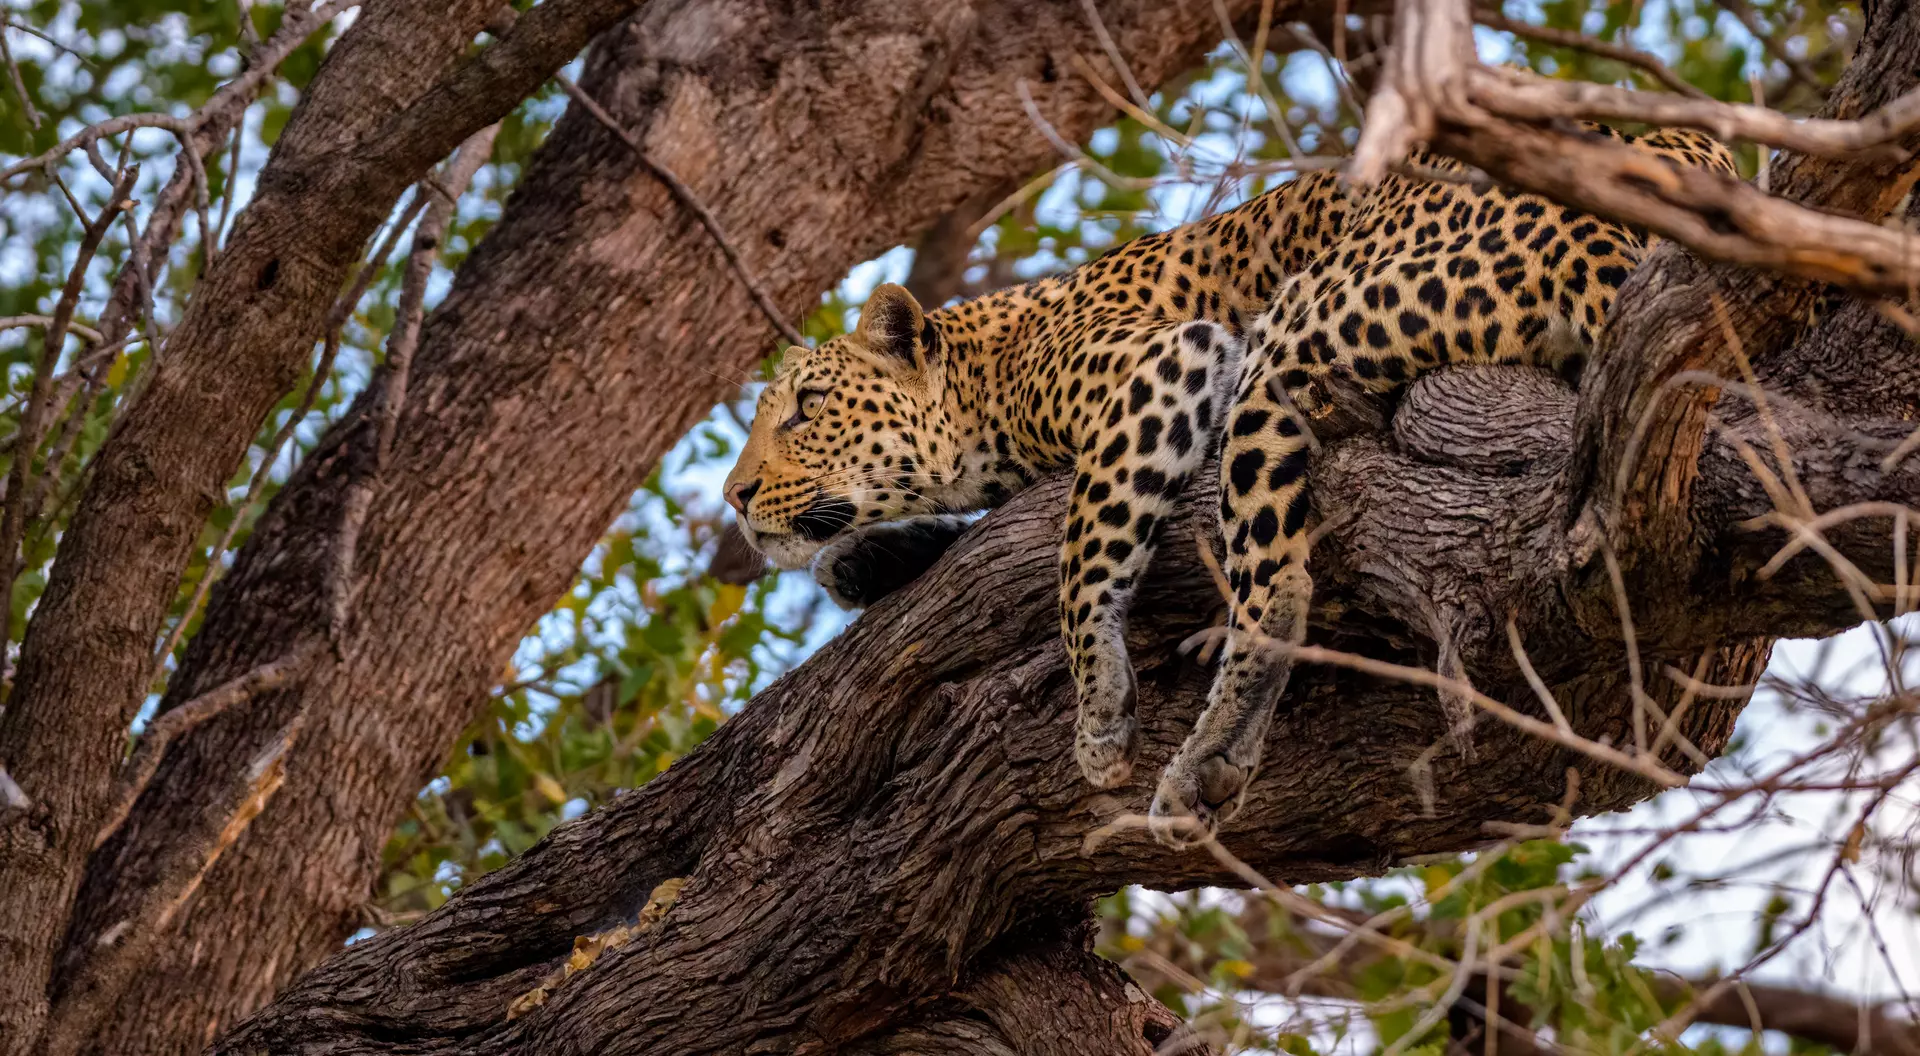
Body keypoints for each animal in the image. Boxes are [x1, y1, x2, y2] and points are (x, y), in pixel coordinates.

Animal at [722, 124, 1736, 846]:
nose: (733, 497)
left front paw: (1101, 712)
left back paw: (1207, 757)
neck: (987, 374)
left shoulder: (1163, 366)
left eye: (807, 406)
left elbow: (1080, 553)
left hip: (1291, 334)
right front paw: (867, 561)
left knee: (1278, 581)